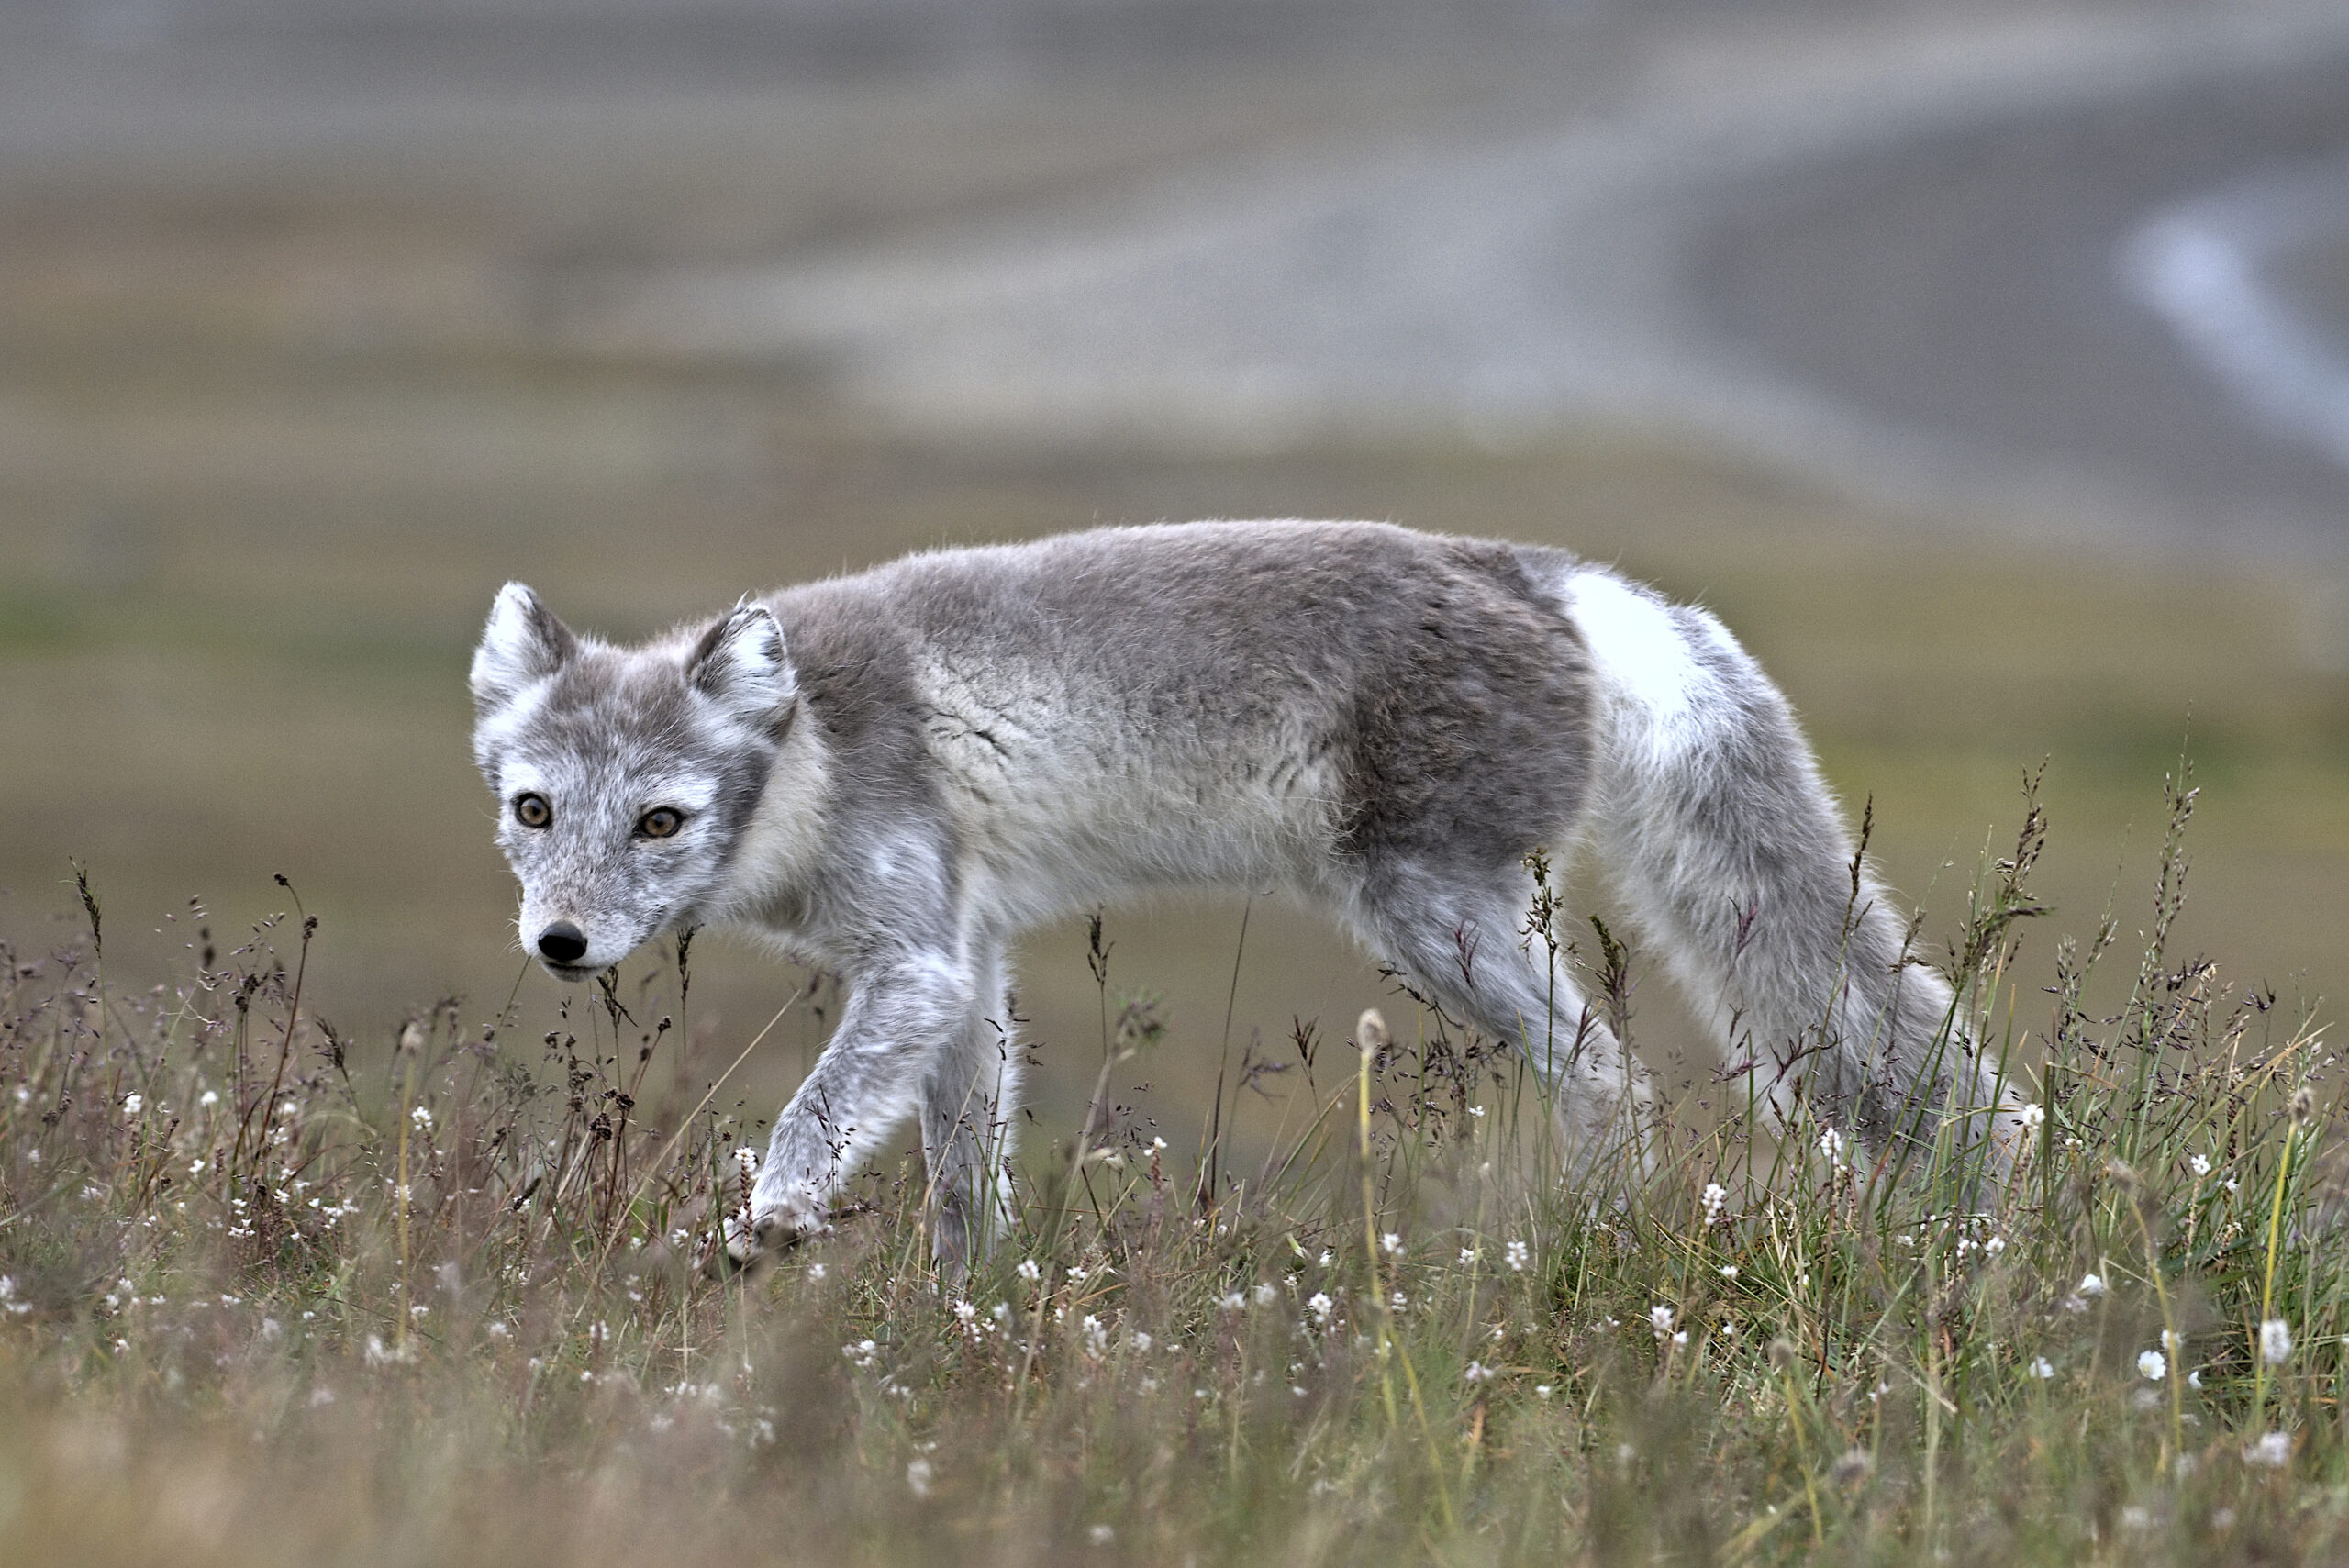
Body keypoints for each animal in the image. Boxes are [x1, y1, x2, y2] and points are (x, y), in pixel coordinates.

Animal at [467, 520, 2010, 1267]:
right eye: (534, 809)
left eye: (661, 819)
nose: (559, 942)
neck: (815, 758)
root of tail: (1557, 580)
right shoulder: (963, 958)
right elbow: (968, 1165)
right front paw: (964, 1310)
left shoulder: (912, 960)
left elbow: (816, 1114)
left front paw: (771, 1222)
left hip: (1430, 913)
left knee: (1611, 1076)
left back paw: (1594, 1226)